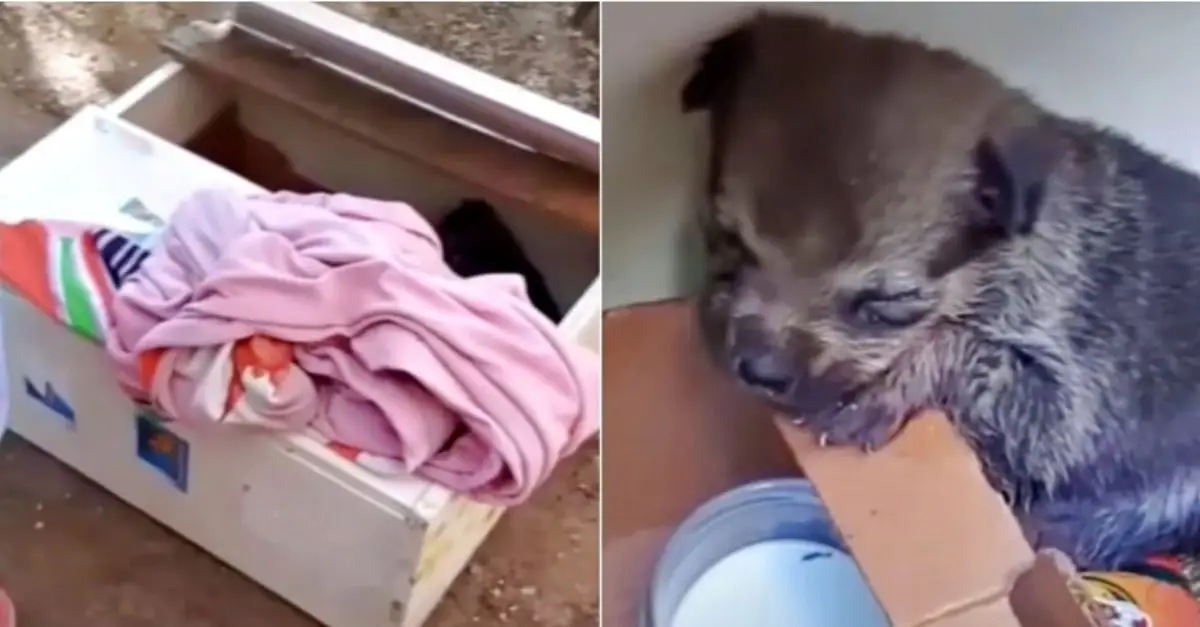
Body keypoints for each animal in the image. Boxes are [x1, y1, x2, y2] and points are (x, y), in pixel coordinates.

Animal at [686, 10, 1200, 566]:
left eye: (886, 304)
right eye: (731, 241)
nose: (758, 371)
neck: (994, 263)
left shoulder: (1067, 407)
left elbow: (963, 347)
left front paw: (883, 392)